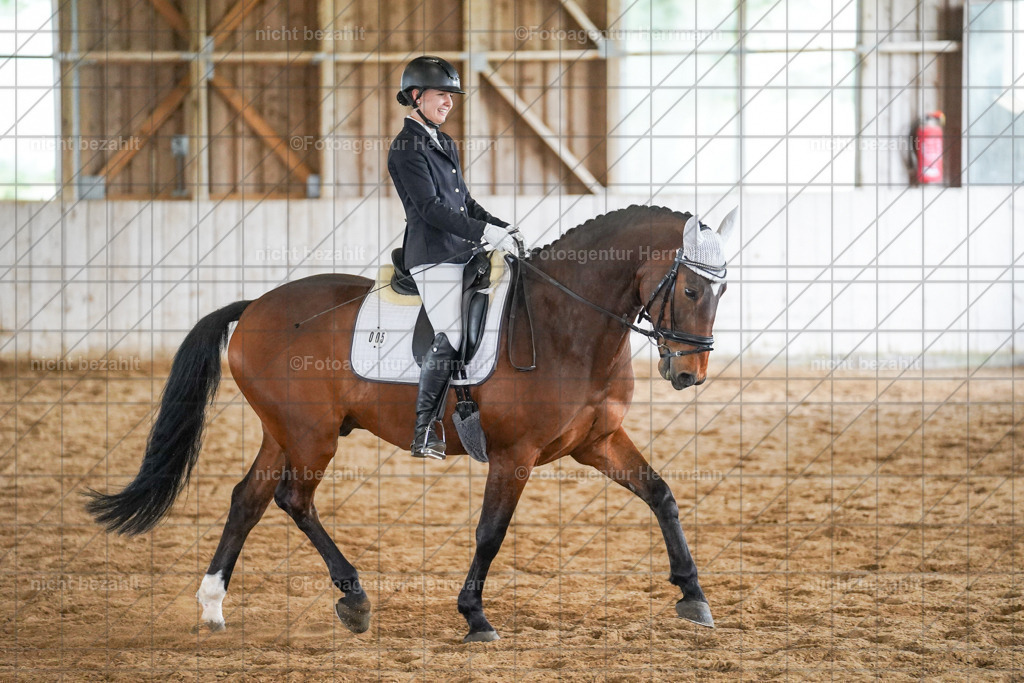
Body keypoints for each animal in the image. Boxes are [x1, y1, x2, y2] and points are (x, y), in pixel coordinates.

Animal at [86, 204, 736, 643]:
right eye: (691, 288)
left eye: (722, 290)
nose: (691, 372)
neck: (566, 322)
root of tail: (254, 308)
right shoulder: (514, 454)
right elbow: (490, 533)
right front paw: (475, 618)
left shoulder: (597, 442)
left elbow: (661, 494)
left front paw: (694, 595)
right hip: (312, 436)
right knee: (294, 499)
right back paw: (354, 599)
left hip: (284, 432)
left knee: (248, 498)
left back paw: (214, 604)